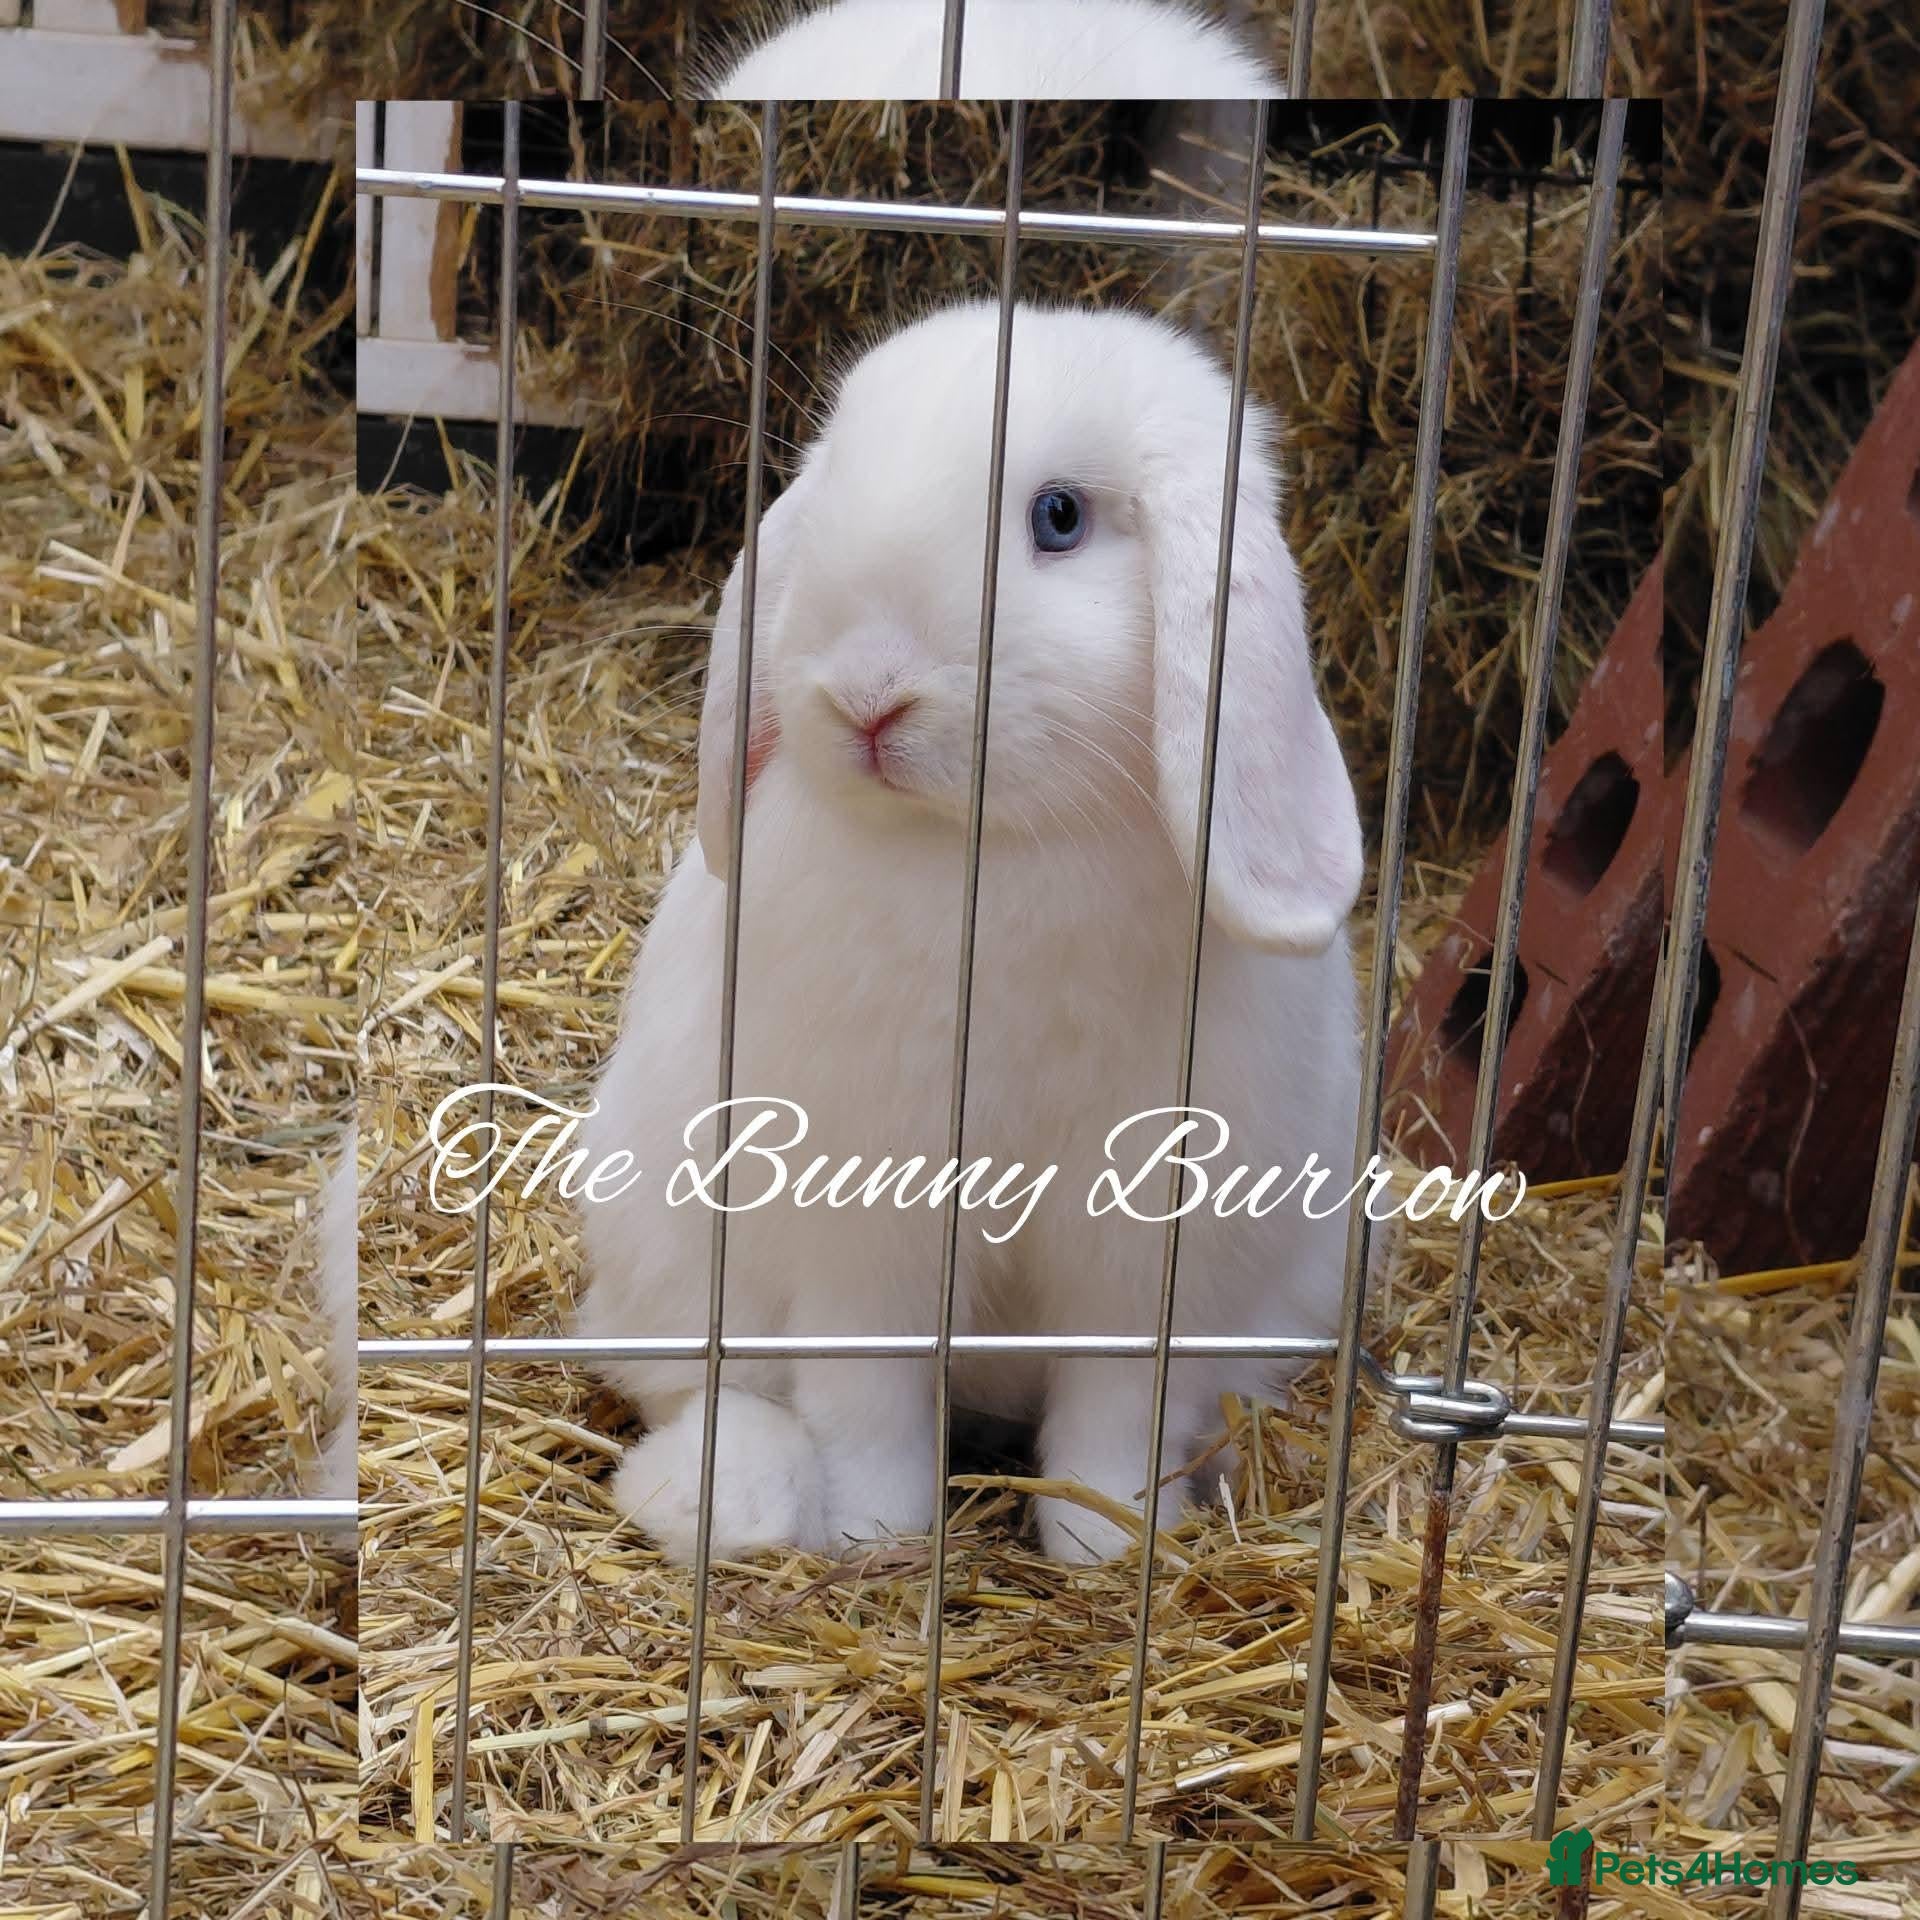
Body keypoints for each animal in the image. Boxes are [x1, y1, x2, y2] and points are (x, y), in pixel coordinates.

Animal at [576, 301, 1363, 1566]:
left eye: (1060, 518)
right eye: (834, 481)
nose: (868, 695)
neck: (985, 851)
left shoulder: (1140, 1263)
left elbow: (1114, 1414)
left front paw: (1104, 1544)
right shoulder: (861, 1240)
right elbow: (869, 1399)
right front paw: (878, 1534)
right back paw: (715, 1492)